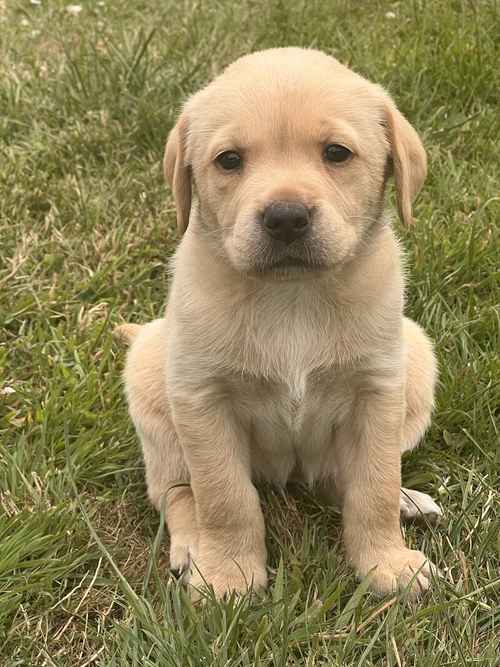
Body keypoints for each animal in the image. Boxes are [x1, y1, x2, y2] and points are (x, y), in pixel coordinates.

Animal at [117, 47, 442, 600]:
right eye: (229, 160)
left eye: (336, 153)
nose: (286, 217)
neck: (292, 295)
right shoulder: (202, 399)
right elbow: (224, 497)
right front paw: (228, 576)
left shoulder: (378, 388)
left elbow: (373, 486)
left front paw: (386, 563)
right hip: (152, 387)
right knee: (177, 493)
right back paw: (192, 546)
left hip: (416, 356)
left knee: (343, 481)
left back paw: (407, 501)